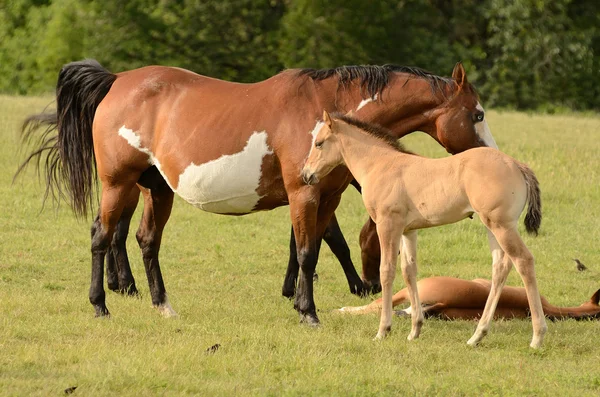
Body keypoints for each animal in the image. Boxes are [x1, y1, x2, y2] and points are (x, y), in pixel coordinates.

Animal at [19, 59, 496, 324]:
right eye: (477, 114)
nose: (492, 158)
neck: (325, 113)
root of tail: (117, 81)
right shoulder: (305, 195)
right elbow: (308, 253)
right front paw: (309, 312)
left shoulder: (327, 198)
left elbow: (315, 249)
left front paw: (301, 302)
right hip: (118, 185)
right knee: (102, 236)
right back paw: (100, 304)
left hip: (157, 190)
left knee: (145, 241)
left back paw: (162, 306)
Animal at [302, 111, 548, 346]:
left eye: (319, 143)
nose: (305, 175)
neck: (380, 164)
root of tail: (517, 165)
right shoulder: (408, 231)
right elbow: (408, 270)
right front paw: (414, 331)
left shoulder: (387, 225)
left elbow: (387, 271)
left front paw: (383, 331)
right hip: (492, 227)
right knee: (500, 266)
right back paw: (477, 336)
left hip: (501, 226)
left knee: (524, 261)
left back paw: (537, 336)